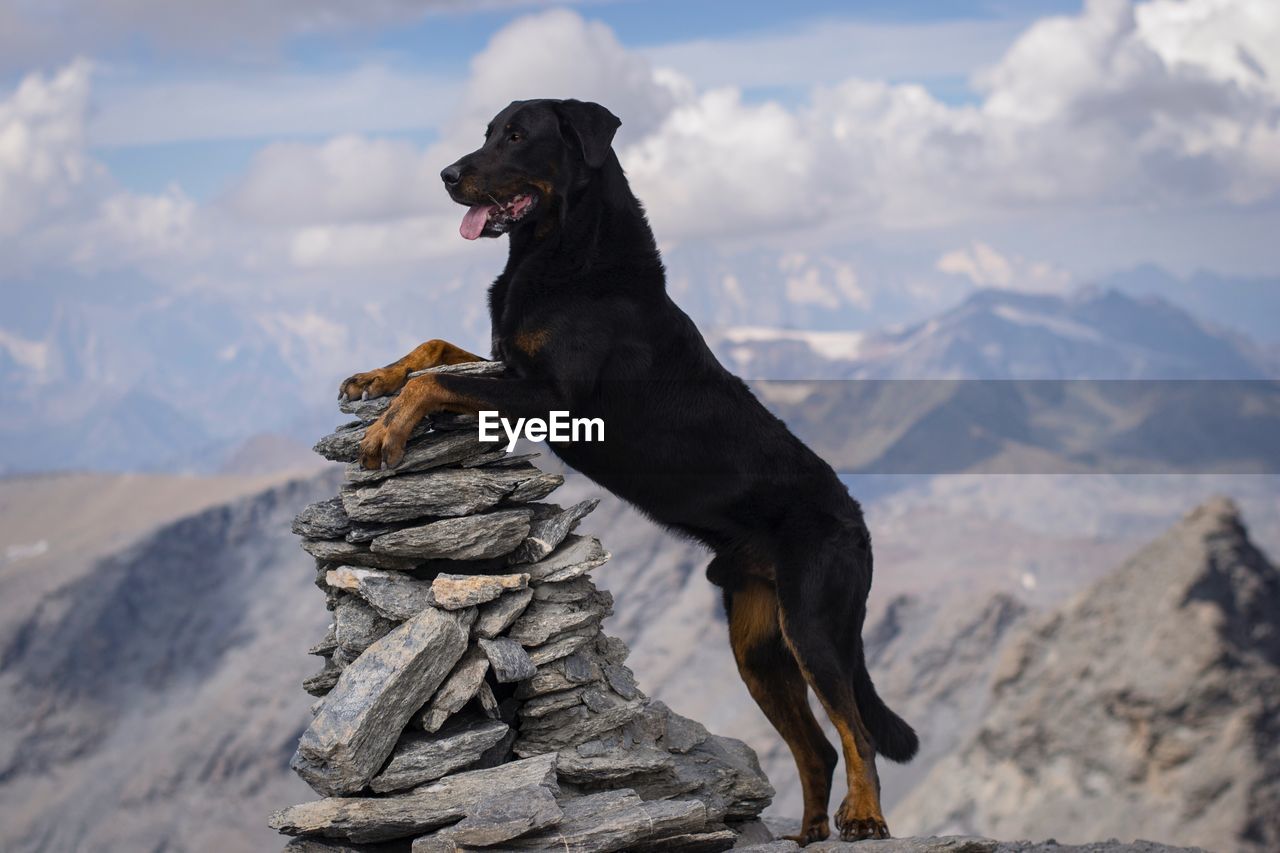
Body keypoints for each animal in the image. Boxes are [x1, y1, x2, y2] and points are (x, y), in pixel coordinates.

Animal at [340, 99, 916, 845]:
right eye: (488, 132)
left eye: (517, 137)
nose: (446, 174)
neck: (569, 250)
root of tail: (857, 519)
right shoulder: (510, 365)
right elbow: (434, 350)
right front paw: (374, 377)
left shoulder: (551, 396)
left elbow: (437, 380)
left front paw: (387, 427)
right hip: (756, 642)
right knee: (815, 744)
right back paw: (811, 831)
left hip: (815, 623)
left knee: (856, 731)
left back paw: (865, 817)